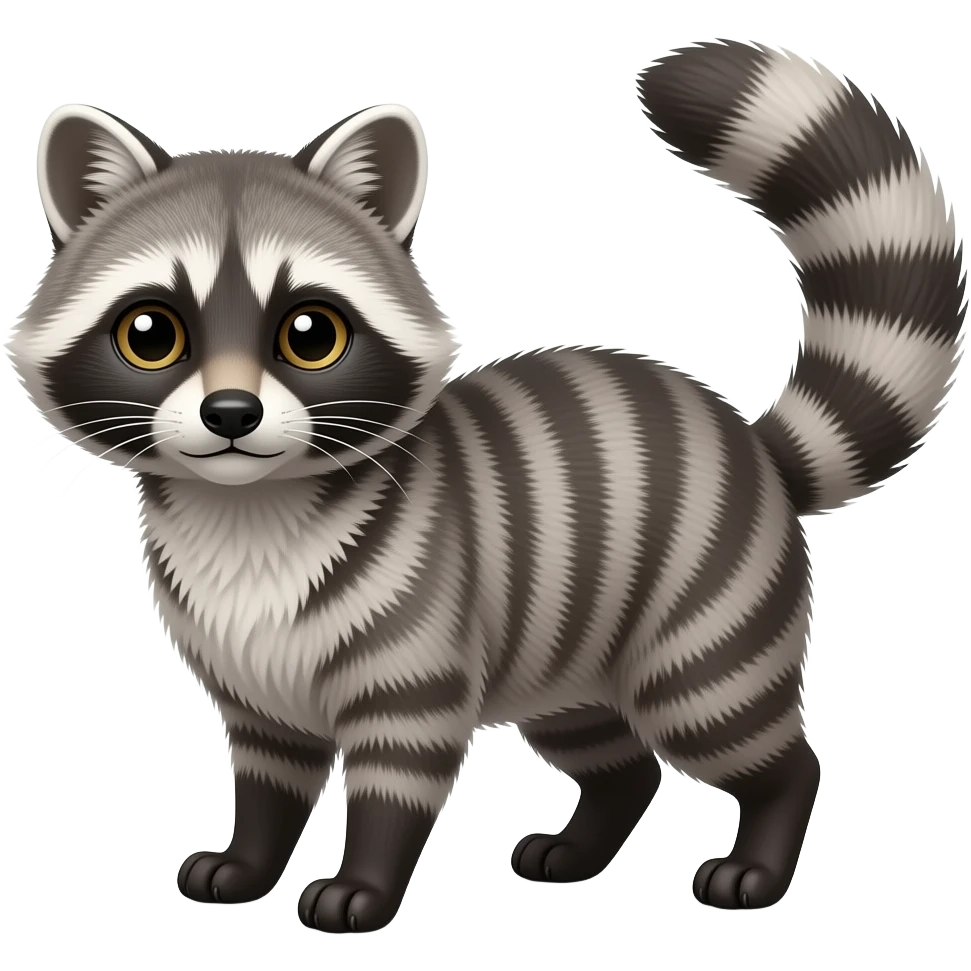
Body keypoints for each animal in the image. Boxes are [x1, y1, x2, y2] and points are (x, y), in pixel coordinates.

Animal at [8, 39, 965, 932]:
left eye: (310, 333)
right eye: (150, 333)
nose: (232, 413)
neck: (245, 508)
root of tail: (750, 441)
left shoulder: (414, 640)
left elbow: (396, 776)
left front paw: (364, 882)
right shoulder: (250, 682)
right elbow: (270, 776)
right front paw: (249, 860)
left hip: (703, 623)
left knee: (744, 734)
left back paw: (760, 855)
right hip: (571, 655)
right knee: (617, 757)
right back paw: (582, 846)